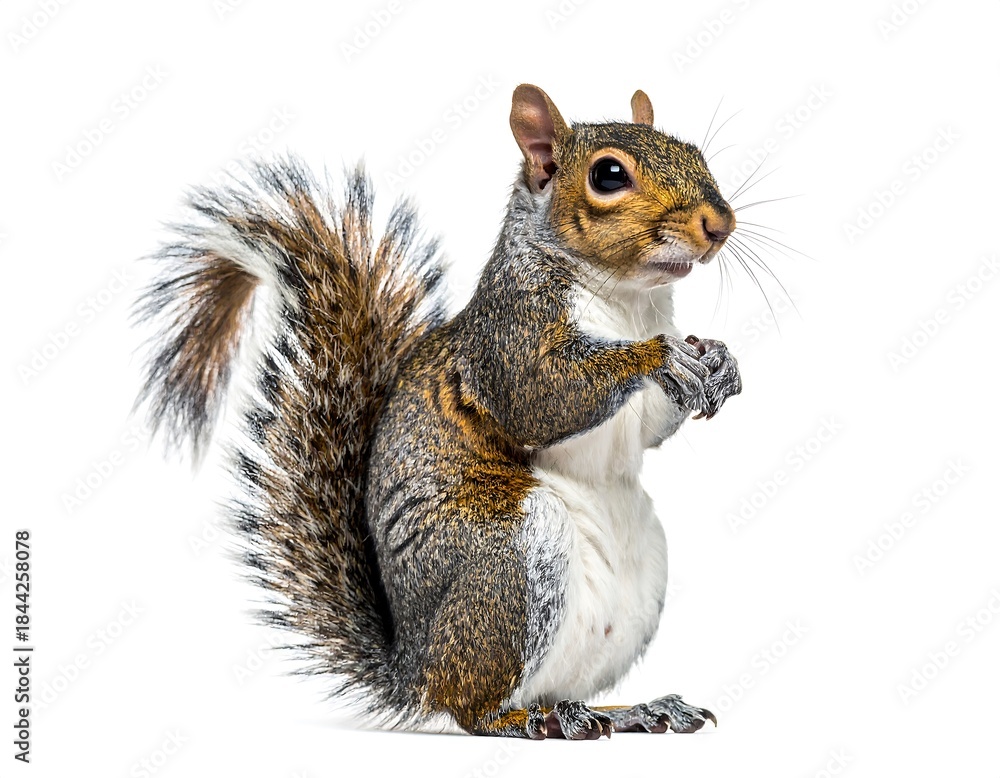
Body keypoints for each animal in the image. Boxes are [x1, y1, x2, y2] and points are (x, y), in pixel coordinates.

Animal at [136, 84, 742, 740]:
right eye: (608, 175)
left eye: (694, 151)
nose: (719, 225)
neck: (628, 298)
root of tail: (415, 671)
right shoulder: (508, 338)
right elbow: (540, 399)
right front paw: (661, 356)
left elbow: (650, 430)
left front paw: (719, 359)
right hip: (507, 558)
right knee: (474, 709)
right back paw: (531, 720)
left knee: (559, 689)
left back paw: (627, 711)